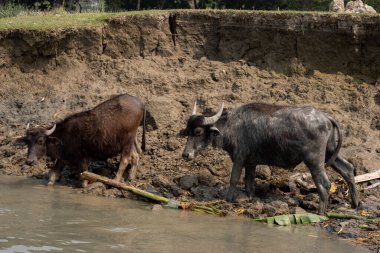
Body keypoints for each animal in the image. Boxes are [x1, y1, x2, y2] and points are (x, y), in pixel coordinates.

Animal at [15, 94, 145, 187]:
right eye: (27, 141)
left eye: (41, 141)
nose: (29, 161)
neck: (63, 138)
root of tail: (140, 102)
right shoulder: (63, 158)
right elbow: (52, 176)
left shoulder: (83, 160)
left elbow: (84, 182)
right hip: (132, 140)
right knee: (136, 155)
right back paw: (131, 177)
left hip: (127, 141)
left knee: (125, 160)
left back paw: (115, 181)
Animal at [181, 102, 360, 214]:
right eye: (188, 131)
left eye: (198, 132)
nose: (185, 154)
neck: (231, 126)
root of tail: (326, 117)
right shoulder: (251, 163)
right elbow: (249, 183)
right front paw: (249, 198)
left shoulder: (239, 158)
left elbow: (233, 180)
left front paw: (227, 199)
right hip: (330, 152)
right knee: (348, 169)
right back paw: (355, 203)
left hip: (314, 160)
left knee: (325, 183)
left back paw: (321, 212)